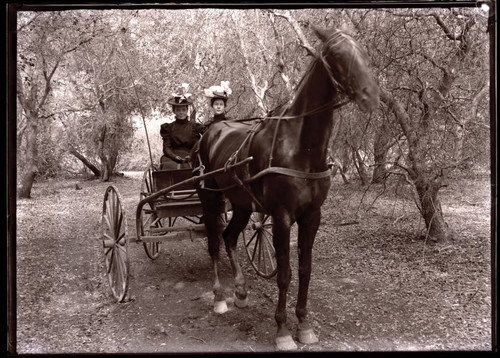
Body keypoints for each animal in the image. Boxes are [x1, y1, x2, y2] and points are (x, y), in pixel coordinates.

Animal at [191, 26, 378, 352]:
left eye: (363, 51)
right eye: (337, 54)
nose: (371, 95)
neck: (301, 146)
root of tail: (212, 129)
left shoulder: (312, 216)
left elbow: (305, 270)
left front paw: (304, 324)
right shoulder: (281, 217)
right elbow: (285, 274)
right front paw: (282, 330)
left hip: (241, 205)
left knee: (230, 238)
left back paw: (240, 291)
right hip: (210, 198)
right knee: (214, 242)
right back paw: (219, 297)